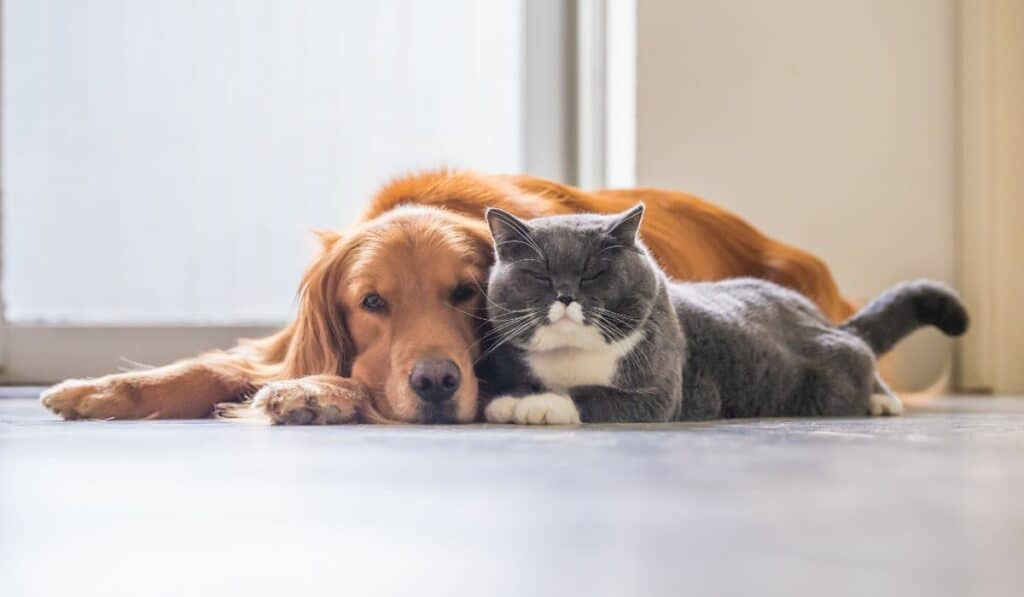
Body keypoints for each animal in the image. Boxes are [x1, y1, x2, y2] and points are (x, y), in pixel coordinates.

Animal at [479, 205, 966, 425]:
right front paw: (512, 398)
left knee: (861, 354)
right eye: (540, 275)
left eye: (594, 273)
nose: (565, 295)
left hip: (833, 373)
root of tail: (817, 316)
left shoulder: (658, 394)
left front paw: (537, 405)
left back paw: (883, 400)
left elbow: (589, 395)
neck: (572, 356)